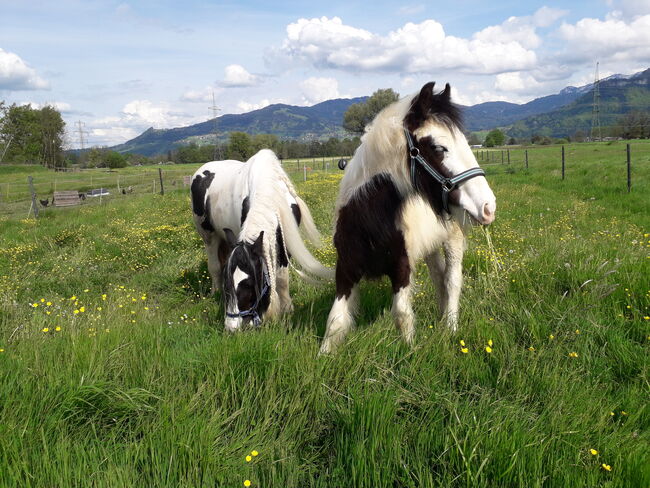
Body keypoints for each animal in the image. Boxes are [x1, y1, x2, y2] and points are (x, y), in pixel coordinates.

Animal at [187, 149, 330, 332]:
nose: (231, 328)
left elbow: (282, 277)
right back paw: (215, 292)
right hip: (209, 235)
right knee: (214, 266)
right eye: (229, 283)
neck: (271, 193)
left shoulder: (284, 244)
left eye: (248, 284)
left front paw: (287, 308)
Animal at [320, 82, 496, 352]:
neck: (367, 220)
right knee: (439, 277)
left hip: (453, 239)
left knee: (452, 280)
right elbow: (335, 321)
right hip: (431, 246)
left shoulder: (401, 268)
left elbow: (402, 315)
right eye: (438, 147)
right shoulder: (346, 269)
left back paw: (450, 327)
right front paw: (324, 355)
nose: (488, 206)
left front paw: (410, 351)